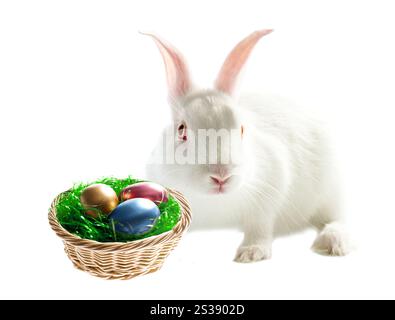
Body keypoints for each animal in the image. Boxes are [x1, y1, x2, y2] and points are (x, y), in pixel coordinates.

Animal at [144, 28, 352, 262]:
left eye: (242, 129)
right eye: (181, 130)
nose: (221, 176)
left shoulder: (268, 194)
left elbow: (259, 226)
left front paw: (251, 253)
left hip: (331, 192)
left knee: (337, 219)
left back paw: (333, 243)